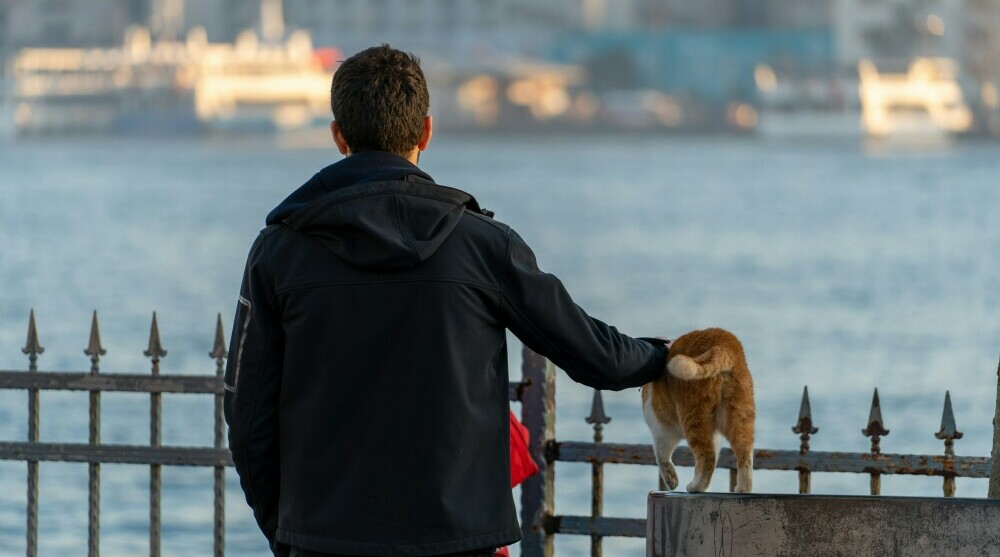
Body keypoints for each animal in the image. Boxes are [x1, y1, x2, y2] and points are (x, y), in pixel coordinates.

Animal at [644, 328, 752, 494]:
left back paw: (695, 487)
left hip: (693, 416)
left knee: (707, 457)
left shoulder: (661, 427)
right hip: (740, 416)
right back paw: (743, 488)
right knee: (744, 453)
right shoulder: (716, 436)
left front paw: (671, 480)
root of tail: (723, 346)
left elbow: (661, 455)